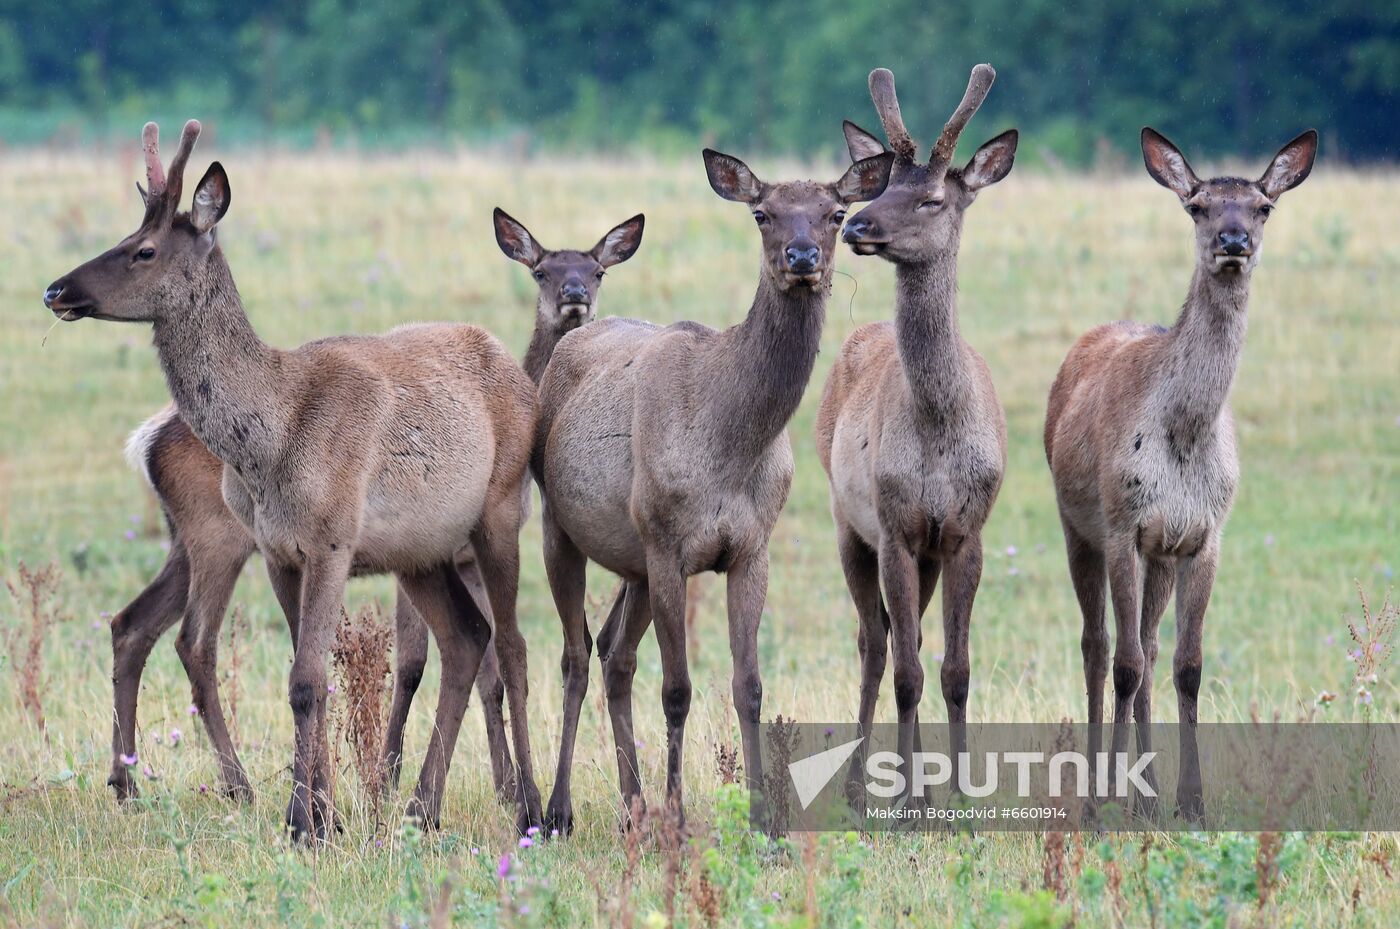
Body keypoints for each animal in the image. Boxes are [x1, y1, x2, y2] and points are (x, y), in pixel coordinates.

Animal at [40, 119, 543, 839]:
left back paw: (532, 805)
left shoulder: (332, 538)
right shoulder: (279, 550)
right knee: (468, 637)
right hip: (419, 550)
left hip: (498, 511)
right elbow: (309, 678)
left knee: (515, 645)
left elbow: (307, 678)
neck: (270, 440)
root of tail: (522, 377)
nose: (56, 290)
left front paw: (304, 821)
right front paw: (322, 814)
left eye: (143, 250)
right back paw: (422, 807)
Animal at [103, 205, 644, 811]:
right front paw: (388, 779)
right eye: (542, 271)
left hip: (184, 541)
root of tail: (146, 441)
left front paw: (492, 784)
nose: (575, 295)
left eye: (597, 270)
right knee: (194, 641)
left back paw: (127, 780)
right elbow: (418, 664)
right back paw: (237, 784)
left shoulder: (444, 554)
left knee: (131, 624)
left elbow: (480, 666)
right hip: (217, 536)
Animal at [529, 146, 890, 833]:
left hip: (634, 561)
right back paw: (560, 809)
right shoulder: (668, 544)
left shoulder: (750, 548)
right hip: (561, 526)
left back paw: (631, 804)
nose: (802, 257)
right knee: (574, 655)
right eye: (761, 212)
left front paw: (762, 818)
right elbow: (677, 689)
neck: (729, 443)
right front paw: (677, 814)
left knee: (615, 654)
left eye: (835, 212)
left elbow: (748, 686)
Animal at [812, 65, 1019, 800]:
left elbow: (954, 668)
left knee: (913, 640)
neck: (937, 429)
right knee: (875, 641)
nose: (858, 223)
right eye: (880, 187)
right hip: (848, 522)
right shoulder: (897, 525)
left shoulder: (963, 531)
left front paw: (955, 791)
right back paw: (860, 783)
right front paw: (905, 799)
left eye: (931, 199)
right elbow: (905, 671)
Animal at [1047, 127, 1316, 817]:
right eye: (1197, 206)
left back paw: (1144, 792)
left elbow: (1186, 664)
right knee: (1099, 646)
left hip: (1160, 555)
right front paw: (1105, 797)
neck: (1184, 439)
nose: (1233, 241)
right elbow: (1123, 664)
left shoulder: (1201, 535)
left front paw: (1188, 799)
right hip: (1077, 526)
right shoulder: (1122, 524)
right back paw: (1102, 791)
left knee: (1147, 644)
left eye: (1263, 207)